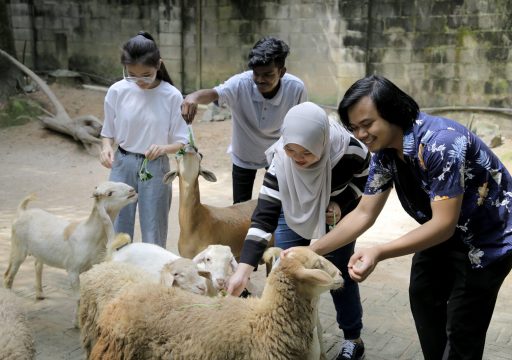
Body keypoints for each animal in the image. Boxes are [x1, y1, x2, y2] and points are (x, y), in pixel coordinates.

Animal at [2, 181, 138, 324]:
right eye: (109, 193)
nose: (132, 190)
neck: (89, 235)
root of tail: (22, 212)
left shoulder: (92, 267)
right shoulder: (72, 269)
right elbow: (78, 298)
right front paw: (77, 322)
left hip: (38, 252)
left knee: (37, 265)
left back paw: (40, 294)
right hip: (18, 248)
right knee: (8, 276)